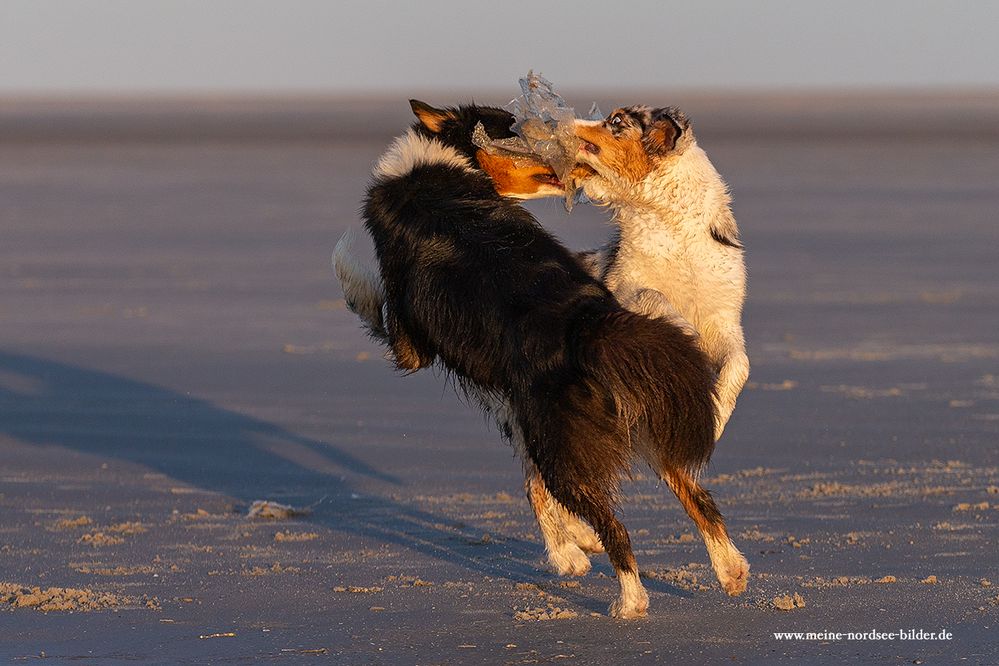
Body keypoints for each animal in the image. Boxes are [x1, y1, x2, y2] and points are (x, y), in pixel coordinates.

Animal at [356, 101, 724, 616]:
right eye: (514, 128)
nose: (564, 137)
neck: (448, 160)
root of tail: (586, 322)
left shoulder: (412, 345)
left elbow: (369, 299)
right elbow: (537, 493)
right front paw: (573, 547)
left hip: (557, 441)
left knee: (613, 525)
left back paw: (629, 600)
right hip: (622, 421)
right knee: (694, 493)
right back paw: (731, 570)